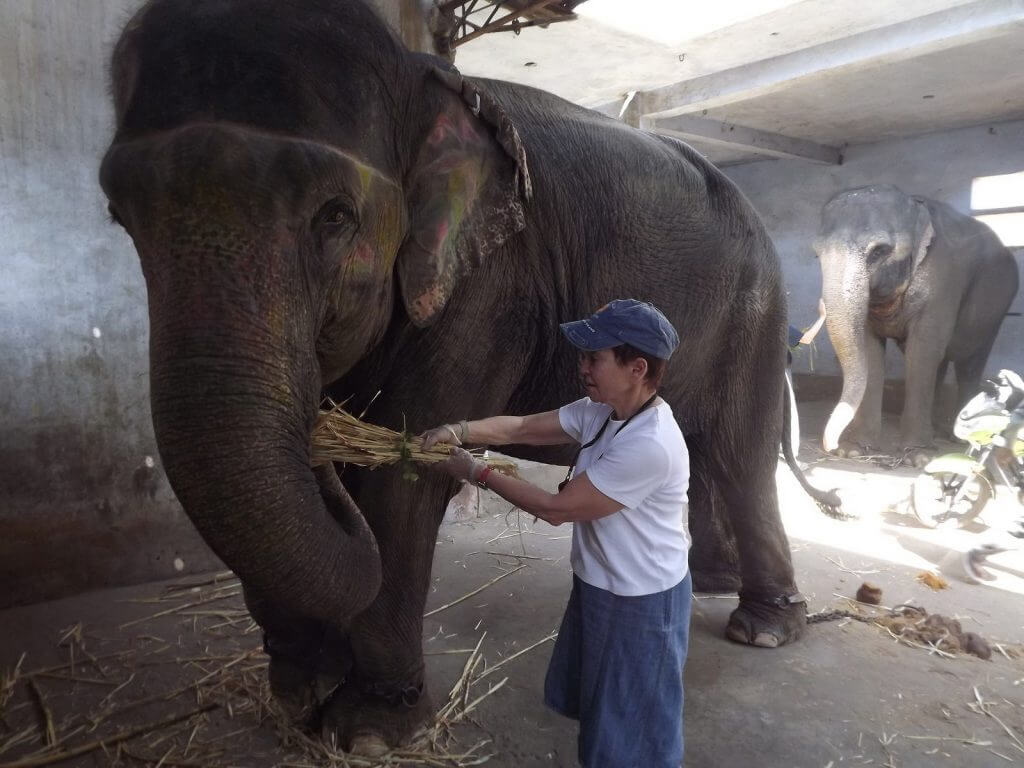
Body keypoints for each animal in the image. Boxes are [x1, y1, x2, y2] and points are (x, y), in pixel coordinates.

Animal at [101, 0, 839, 753]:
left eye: (335, 215)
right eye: (118, 215)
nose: (317, 430)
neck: (418, 76)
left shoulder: (490, 284)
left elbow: (400, 485)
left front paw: (371, 730)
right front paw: (302, 697)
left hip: (756, 310)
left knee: (739, 453)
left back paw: (763, 627)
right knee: (700, 449)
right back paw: (711, 579)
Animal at [815, 185, 1015, 462]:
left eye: (879, 251)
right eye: (816, 254)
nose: (831, 446)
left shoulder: (942, 282)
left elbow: (921, 352)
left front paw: (919, 457)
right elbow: (870, 352)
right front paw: (854, 449)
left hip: (995, 311)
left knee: (969, 362)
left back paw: (959, 437)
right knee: (941, 364)